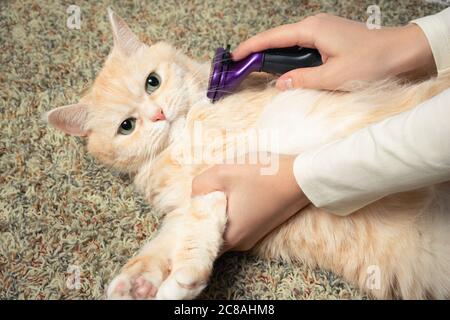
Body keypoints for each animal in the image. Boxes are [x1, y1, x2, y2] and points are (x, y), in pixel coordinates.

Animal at [46, 10, 450, 300]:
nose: (158, 114)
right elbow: (170, 237)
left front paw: (185, 276)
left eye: (152, 82)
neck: (183, 139)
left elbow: (197, 220)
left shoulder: (221, 172)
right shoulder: (184, 201)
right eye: (127, 126)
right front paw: (138, 281)